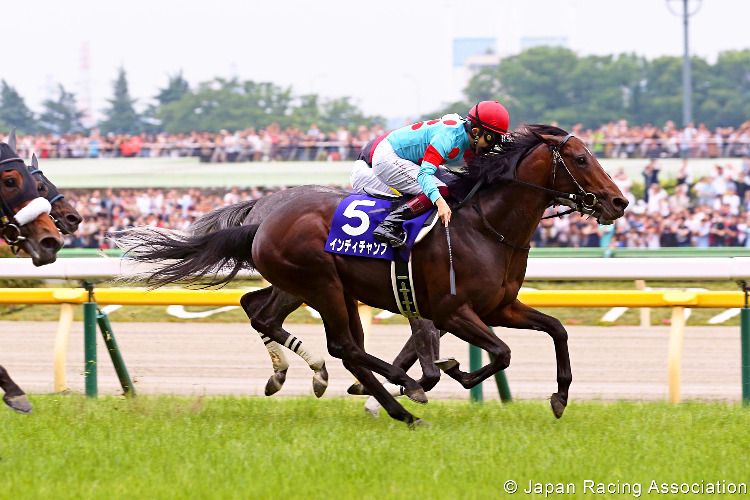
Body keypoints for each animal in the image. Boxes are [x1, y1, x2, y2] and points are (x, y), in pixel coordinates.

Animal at [122, 124, 628, 426]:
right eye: (581, 160)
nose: (619, 202)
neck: (487, 226)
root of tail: (261, 222)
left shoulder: (500, 306)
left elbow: (557, 329)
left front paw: (560, 397)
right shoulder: (453, 309)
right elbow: (498, 353)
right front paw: (449, 373)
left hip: (317, 288)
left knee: (278, 319)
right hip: (321, 283)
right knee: (343, 347)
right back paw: (398, 395)